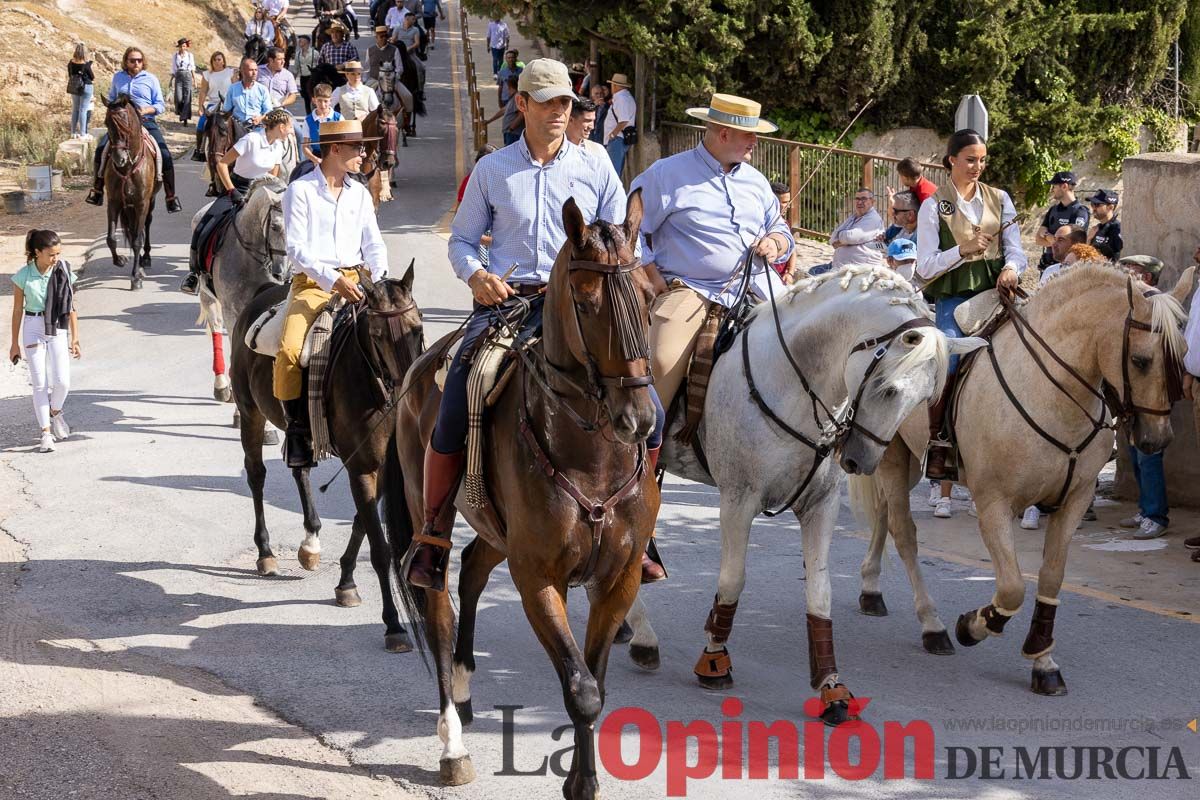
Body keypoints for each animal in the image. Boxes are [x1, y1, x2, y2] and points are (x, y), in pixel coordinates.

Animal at [102, 93, 158, 289]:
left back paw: (145, 259)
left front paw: (135, 278)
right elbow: (111, 238)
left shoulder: (142, 203)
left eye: (125, 123)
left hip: (149, 203)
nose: (119, 159)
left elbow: (137, 240)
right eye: (106, 123)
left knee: (145, 226)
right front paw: (120, 260)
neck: (128, 168)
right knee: (134, 230)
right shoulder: (114, 202)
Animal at [229, 268, 427, 652]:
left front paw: (346, 582)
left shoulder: (380, 468)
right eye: (377, 335)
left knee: (300, 470)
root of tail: (262, 294)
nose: (405, 389)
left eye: (417, 327)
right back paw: (266, 553)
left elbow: (361, 523)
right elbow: (379, 548)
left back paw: (310, 543)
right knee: (257, 475)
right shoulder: (362, 467)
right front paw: (393, 625)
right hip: (249, 412)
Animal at [384, 194, 662, 800]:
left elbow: (595, 681)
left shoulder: (619, 578)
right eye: (586, 301)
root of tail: (417, 369)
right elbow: (581, 689)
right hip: (430, 521)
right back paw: (453, 744)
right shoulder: (537, 577)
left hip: (497, 530)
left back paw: (465, 684)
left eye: (648, 297)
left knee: (472, 564)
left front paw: (585, 777)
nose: (639, 419)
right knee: (438, 600)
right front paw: (579, 783)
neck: (590, 454)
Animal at [628, 263, 984, 724]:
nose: (861, 460)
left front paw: (831, 687)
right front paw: (714, 660)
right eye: (888, 389)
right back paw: (641, 635)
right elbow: (732, 580)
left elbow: (820, 591)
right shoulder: (738, 500)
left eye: (926, 399)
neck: (789, 381)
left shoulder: (820, 505)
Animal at [849, 261, 1195, 695]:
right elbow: (1012, 587)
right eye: (1141, 360)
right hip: (891, 454)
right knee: (903, 531)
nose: (1156, 439)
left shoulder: (1074, 502)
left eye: (1182, 356)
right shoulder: (994, 504)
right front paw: (973, 626)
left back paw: (871, 591)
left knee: (882, 514)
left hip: (905, 459)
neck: (1052, 395)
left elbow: (1050, 578)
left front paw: (1043, 660)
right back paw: (933, 626)